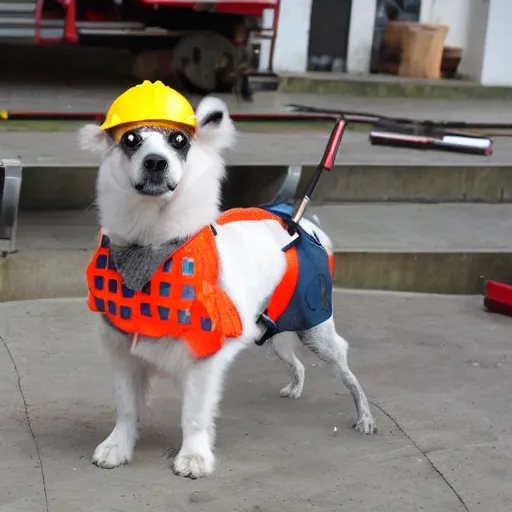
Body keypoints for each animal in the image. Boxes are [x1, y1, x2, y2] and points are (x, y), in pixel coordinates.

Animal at [80, 97, 376, 480]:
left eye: (179, 140)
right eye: (131, 139)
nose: (155, 162)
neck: (152, 248)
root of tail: (300, 220)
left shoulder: (203, 357)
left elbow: (194, 414)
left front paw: (194, 457)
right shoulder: (123, 351)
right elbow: (127, 407)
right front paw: (117, 447)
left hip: (316, 329)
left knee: (346, 370)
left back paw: (365, 416)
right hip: (270, 327)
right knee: (295, 361)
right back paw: (295, 386)